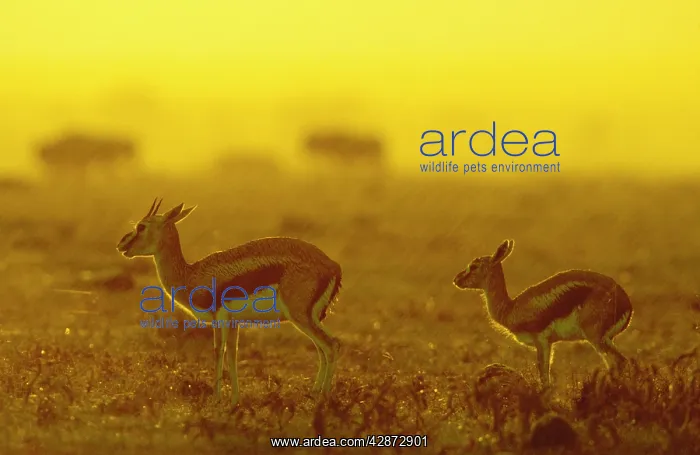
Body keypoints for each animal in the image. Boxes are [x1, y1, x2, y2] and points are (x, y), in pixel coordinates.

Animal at [116, 198, 342, 404]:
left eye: (141, 226)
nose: (121, 245)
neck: (190, 275)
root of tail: (332, 265)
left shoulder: (219, 319)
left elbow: (218, 352)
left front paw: (216, 399)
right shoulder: (234, 322)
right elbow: (232, 355)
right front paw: (234, 400)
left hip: (300, 317)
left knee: (331, 345)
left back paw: (323, 398)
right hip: (309, 318)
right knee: (322, 349)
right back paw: (313, 394)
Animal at [452, 239, 632, 387]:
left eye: (474, 266)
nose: (456, 280)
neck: (511, 308)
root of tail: (626, 303)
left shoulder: (541, 341)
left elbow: (544, 379)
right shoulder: (550, 343)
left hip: (595, 338)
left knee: (621, 362)